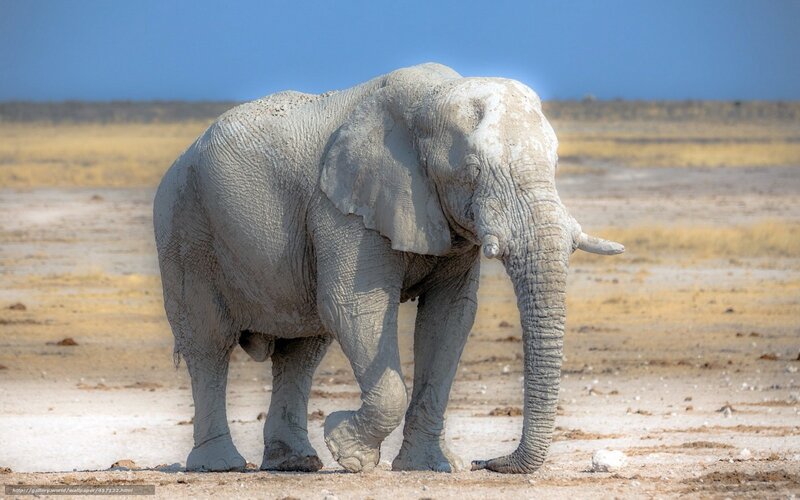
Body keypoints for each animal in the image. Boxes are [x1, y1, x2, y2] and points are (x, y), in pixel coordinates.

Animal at [153, 62, 623, 474]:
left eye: (556, 164)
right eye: (472, 171)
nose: (487, 462)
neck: (434, 96)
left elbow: (450, 318)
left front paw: (430, 467)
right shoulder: (343, 208)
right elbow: (355, 306)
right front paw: (348, 450)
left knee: (302, 350)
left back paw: (294, 463)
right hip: (184, 228)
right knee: (209, 345)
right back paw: (220, 465)